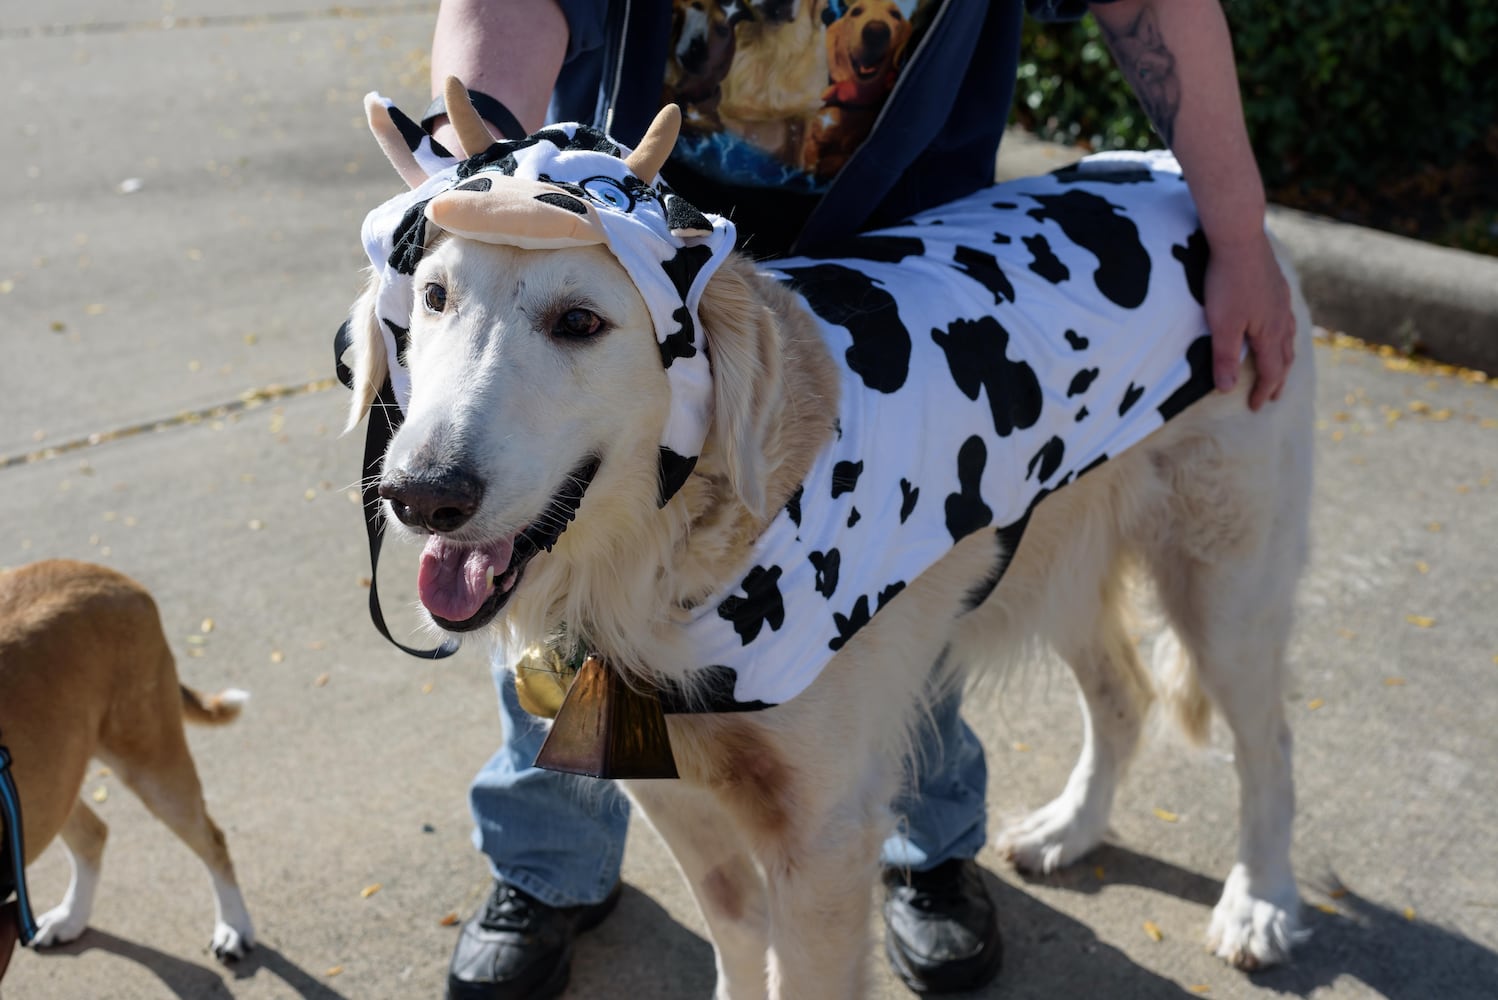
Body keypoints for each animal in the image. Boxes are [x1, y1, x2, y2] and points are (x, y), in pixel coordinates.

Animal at [0, 559, 253, 982]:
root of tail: (114, 576)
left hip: (153, 767)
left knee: (213, 840)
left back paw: (234, 928)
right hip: (55, 778)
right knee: (93, 834)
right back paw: (71, 919)